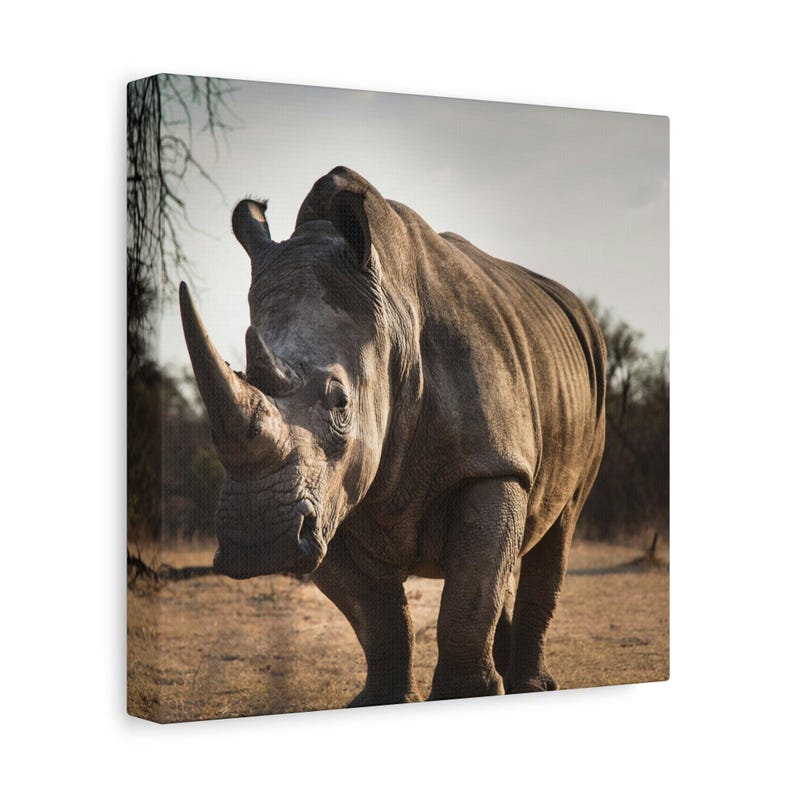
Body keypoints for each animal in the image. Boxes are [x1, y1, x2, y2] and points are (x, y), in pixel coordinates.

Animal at [179, 166, 606, 705]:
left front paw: (467, 696)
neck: (393, 326)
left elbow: (469, 597)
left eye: (341, 403)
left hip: (592, 378)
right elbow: (377, 615)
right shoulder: (326, 501)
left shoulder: (492, 464)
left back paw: (531, 686)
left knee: (558, 528)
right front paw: (383, 700)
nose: (258, 541)